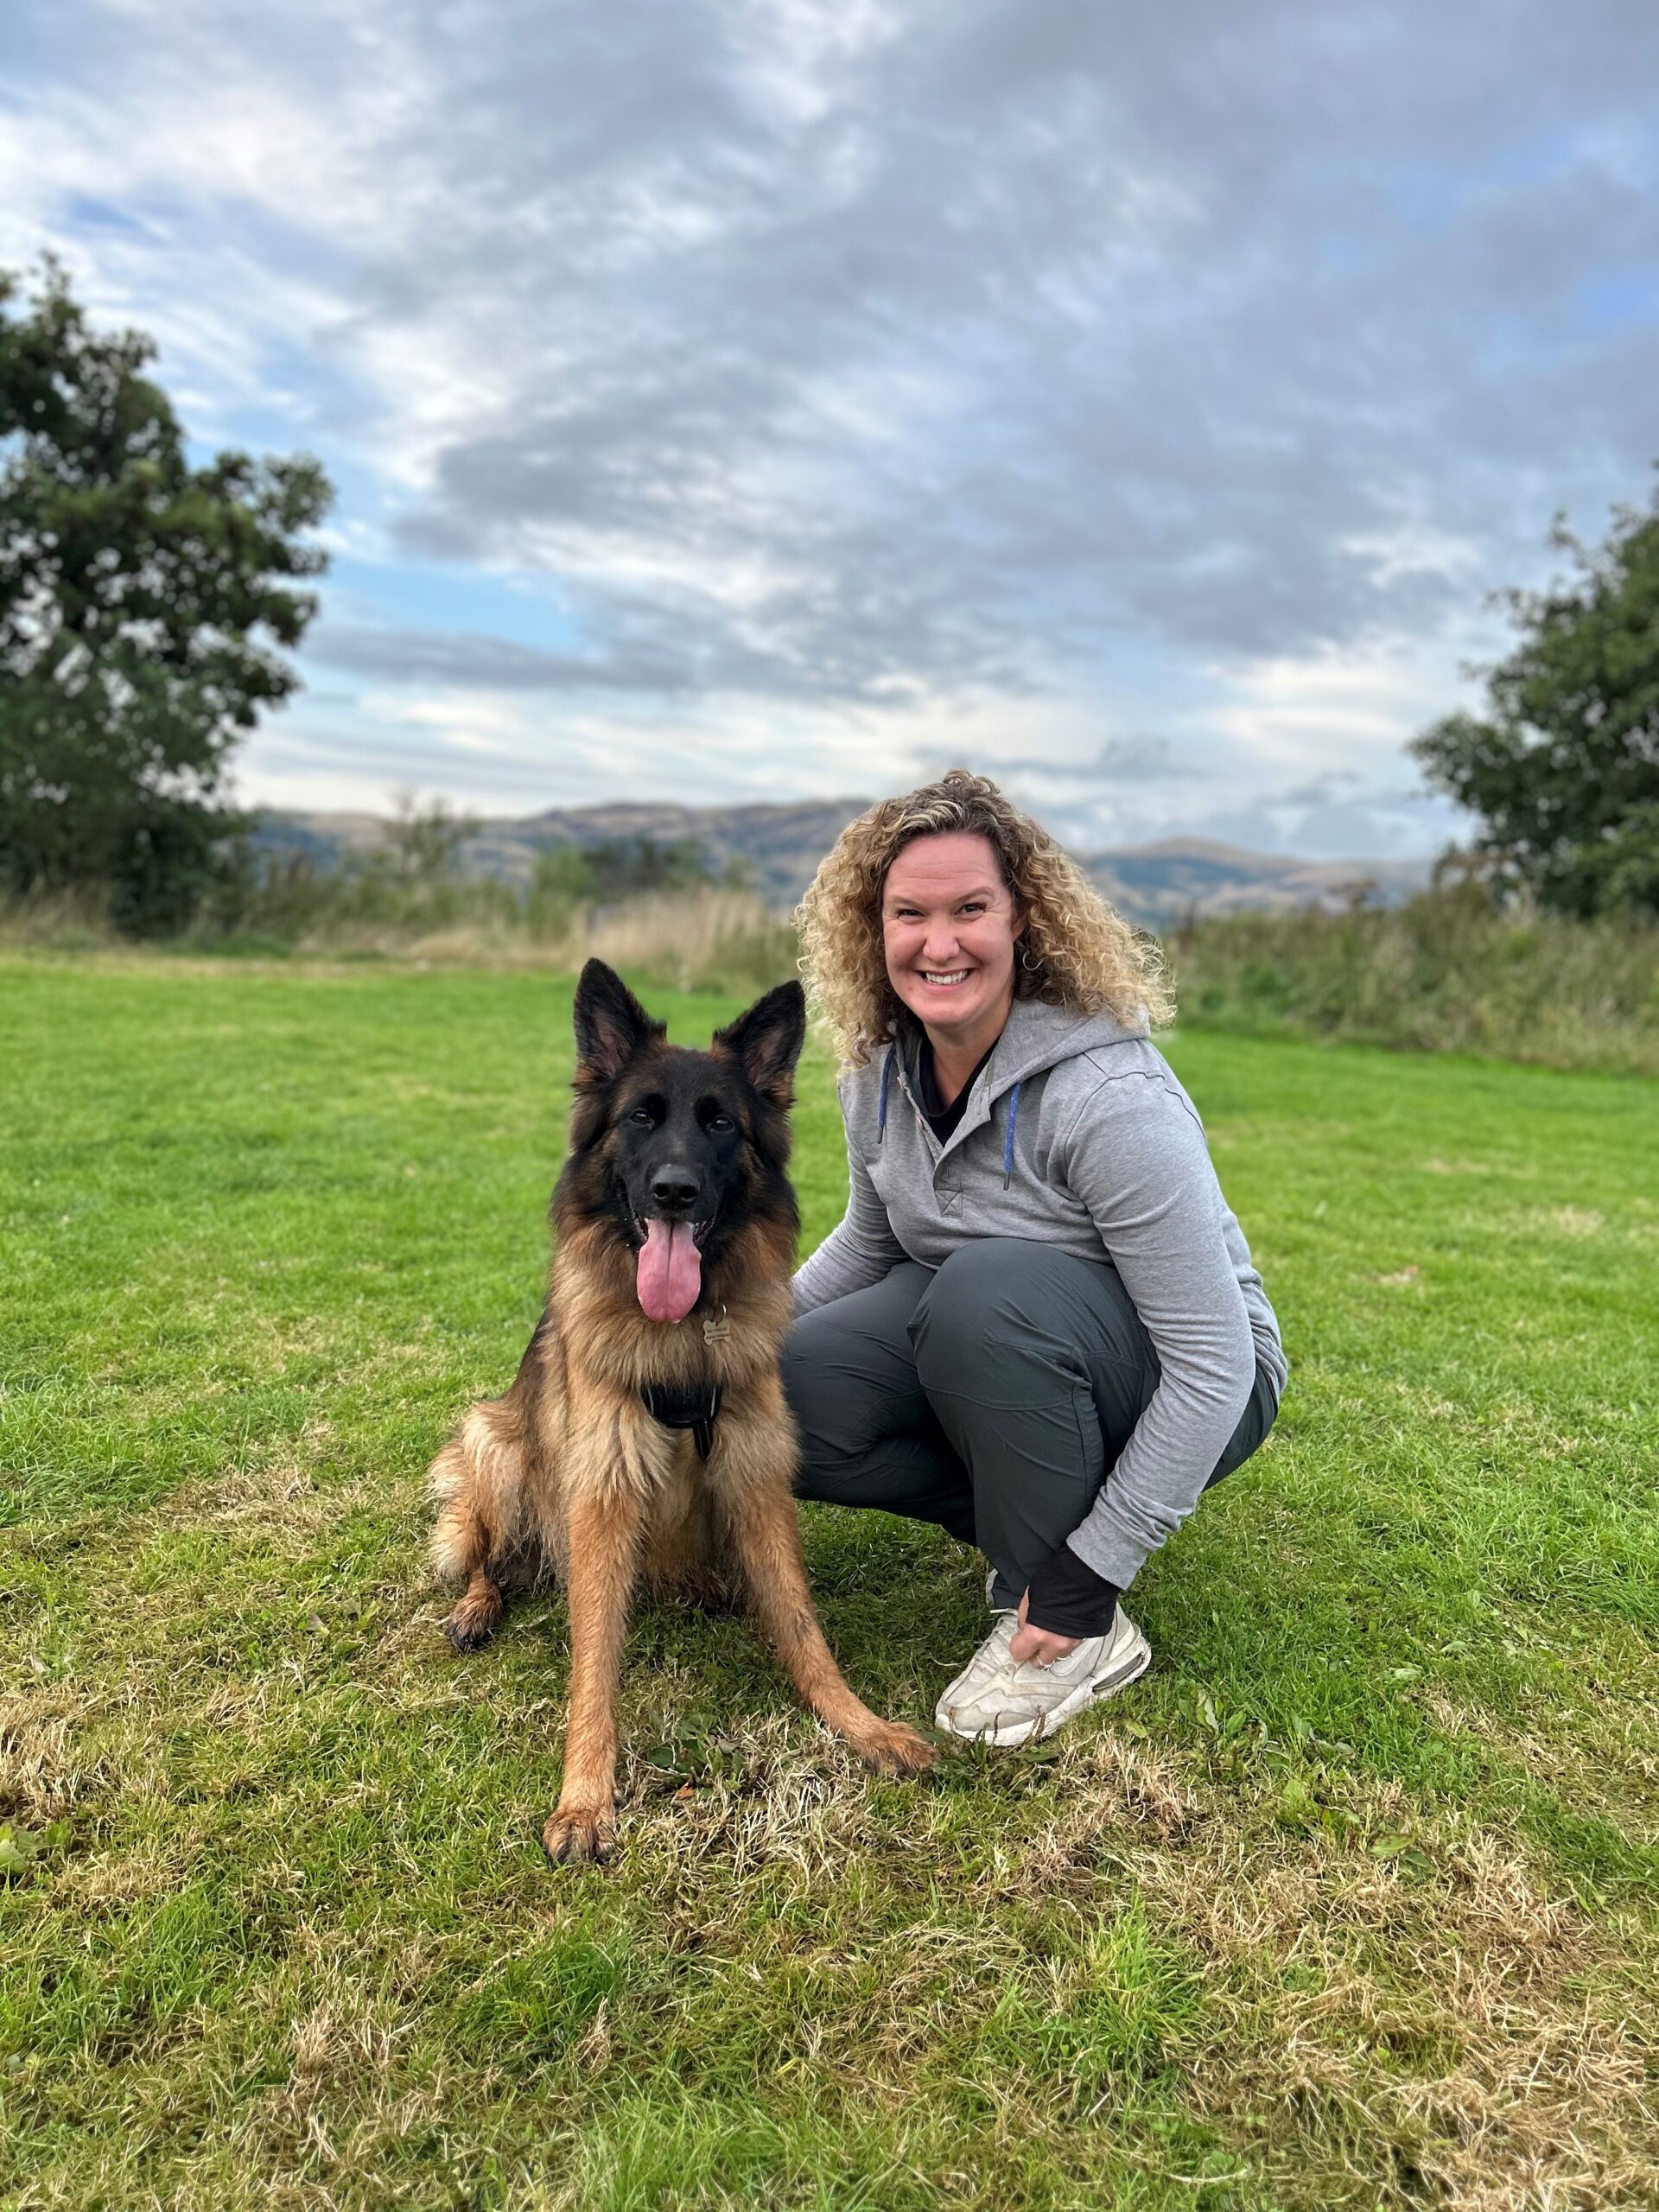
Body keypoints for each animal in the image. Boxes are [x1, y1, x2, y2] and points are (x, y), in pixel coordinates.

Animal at [429, 960, 938, 1858]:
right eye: (641, 1117)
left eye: (721, 1124)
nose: (674, 1191)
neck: (683, 1342)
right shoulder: (600, 1499)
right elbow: (594, 1659)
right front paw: (585, 1798)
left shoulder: (755, 1480)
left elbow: (803, 1628)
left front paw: (861, 1727)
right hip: (493, 1440)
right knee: (493, 1556)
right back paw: (476, 1608)